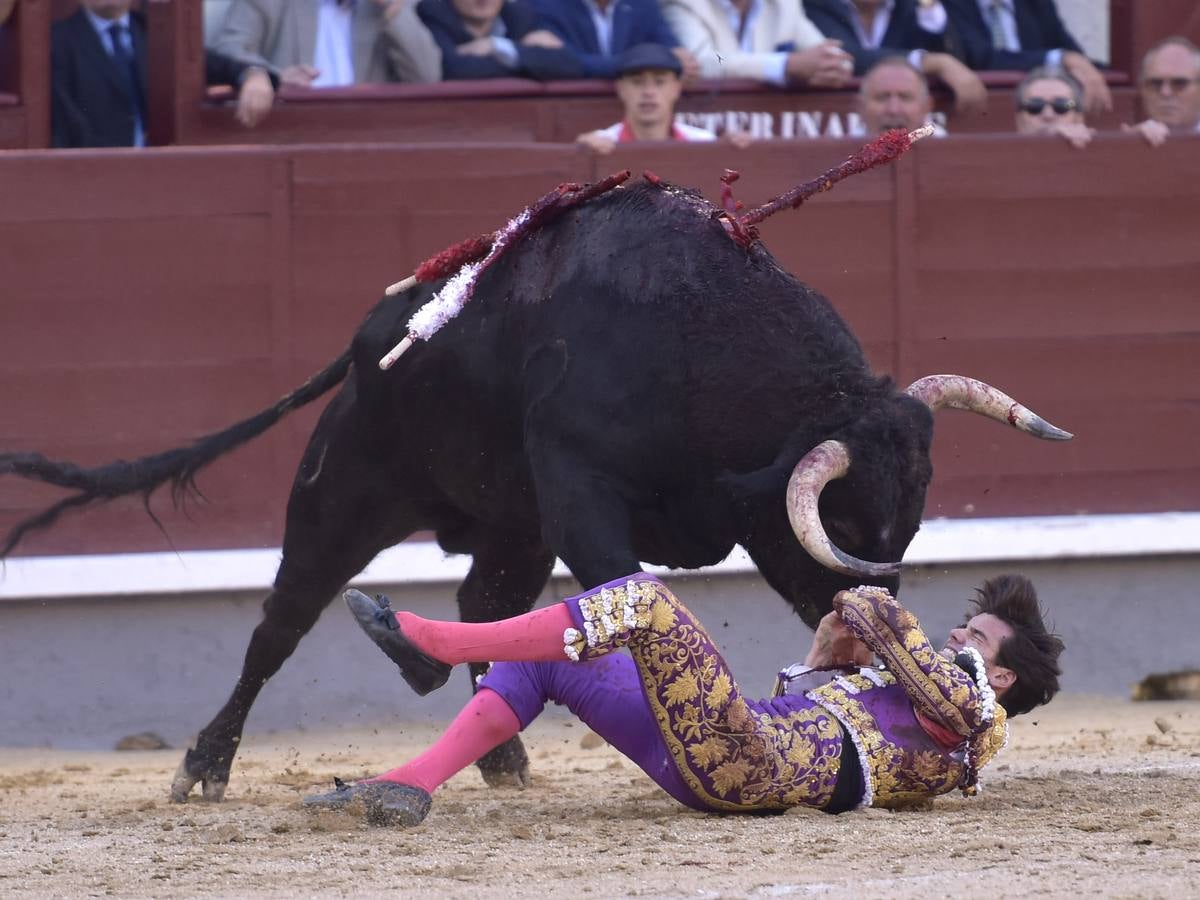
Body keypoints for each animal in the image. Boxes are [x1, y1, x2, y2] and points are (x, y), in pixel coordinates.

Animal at [0, 180, 1070, 801]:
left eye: (912, 519)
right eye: (845, 521)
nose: (873, 614)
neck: (699, 341)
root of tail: (371, 340)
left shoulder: (560, 512)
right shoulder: (582, 496)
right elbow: (612, 591)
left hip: (509, 525)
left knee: (483, 600)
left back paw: (497, 754)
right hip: (343, 495)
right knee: (281, 625)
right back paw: (205, 763)